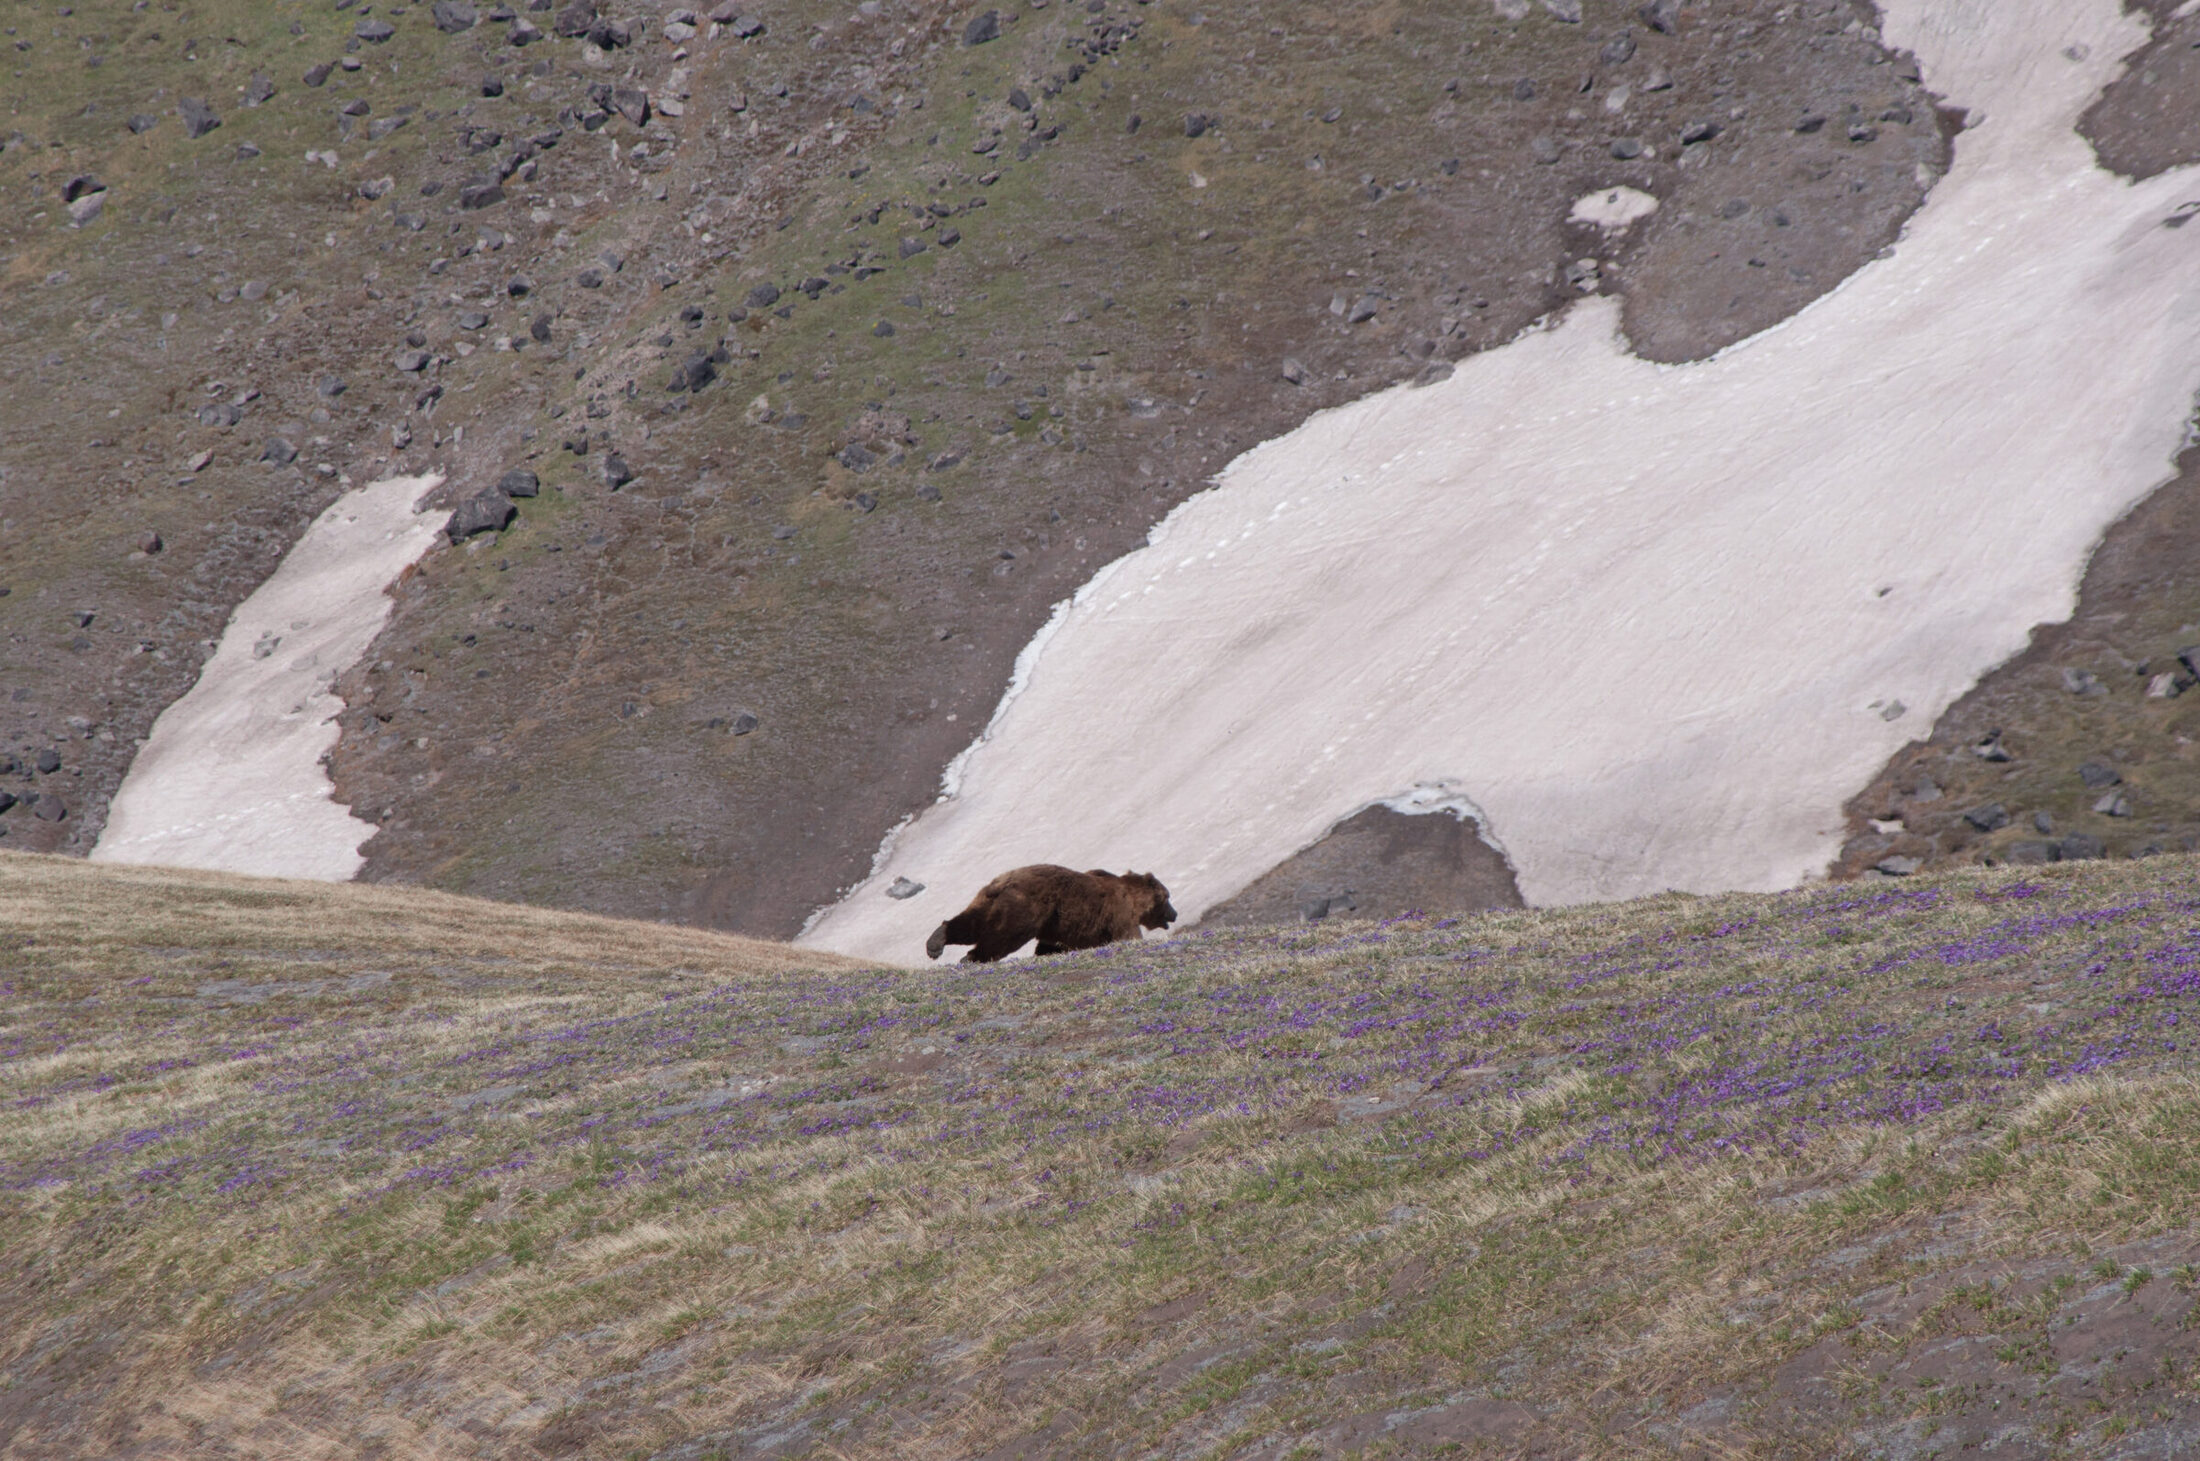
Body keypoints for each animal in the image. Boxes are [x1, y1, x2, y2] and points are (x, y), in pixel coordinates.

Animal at [923, 864, 1176, 963]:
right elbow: (1127, 936)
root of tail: (1002, 883)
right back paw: (973, 957)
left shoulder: (1061, 929)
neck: (1135, 899)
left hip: (988, 902)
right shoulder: (1118, 914)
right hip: (1026, 909)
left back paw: (936, 942)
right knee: (1002, 937)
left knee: (971, 923)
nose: (1174, 914)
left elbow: (1050, 946)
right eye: (1168, 896)